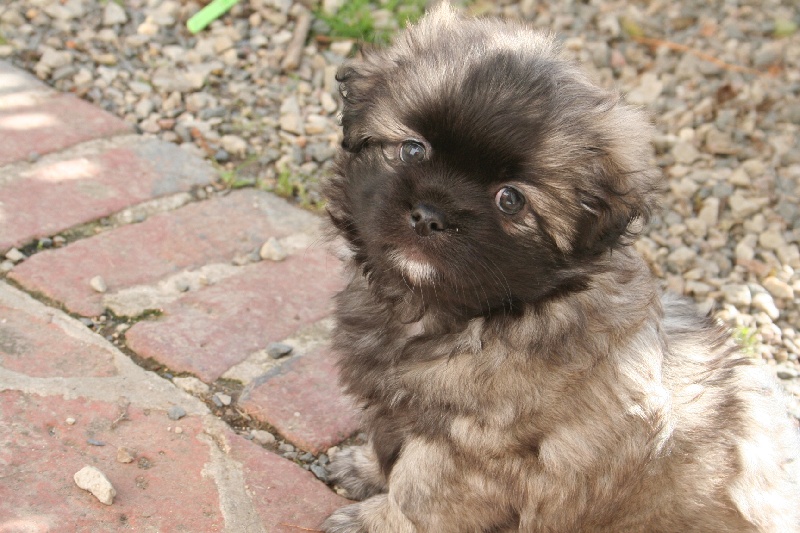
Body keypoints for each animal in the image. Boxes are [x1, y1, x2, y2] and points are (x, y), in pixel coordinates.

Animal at [320, 4, 800, 532]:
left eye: (510, 200)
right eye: (412, 149)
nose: (430, 216)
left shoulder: (463, 452)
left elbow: (414, 491)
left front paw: (372, 520)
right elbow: (386, 447)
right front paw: (363, 467)